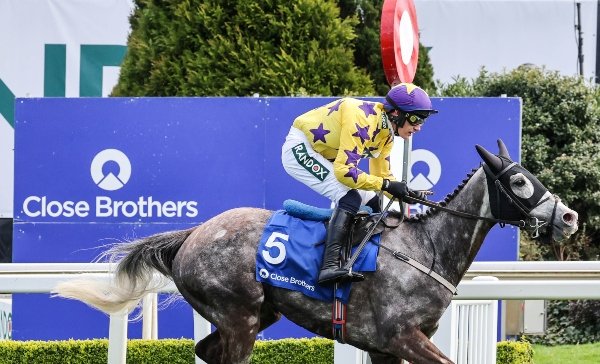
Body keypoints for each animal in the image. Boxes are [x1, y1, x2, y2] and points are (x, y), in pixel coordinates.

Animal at [54, 140, 580, 364]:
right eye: (519, 181)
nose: (571, 217)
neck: (426, 250)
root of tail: (193, 234)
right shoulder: (403, 338)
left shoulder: (386, 348)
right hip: (239, 315)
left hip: (257, 314)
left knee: (207, 351)